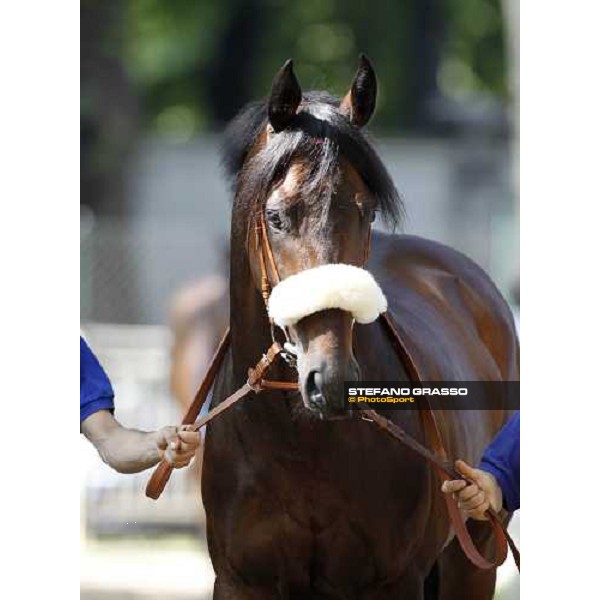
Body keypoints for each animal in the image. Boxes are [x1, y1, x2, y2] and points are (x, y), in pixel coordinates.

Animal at [200, 54, 516, 596]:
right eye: (277, 217)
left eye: (366, 213)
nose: (331, 381)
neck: (298, 446)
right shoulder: (241, 581)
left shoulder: (393, 581)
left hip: (472, 562)